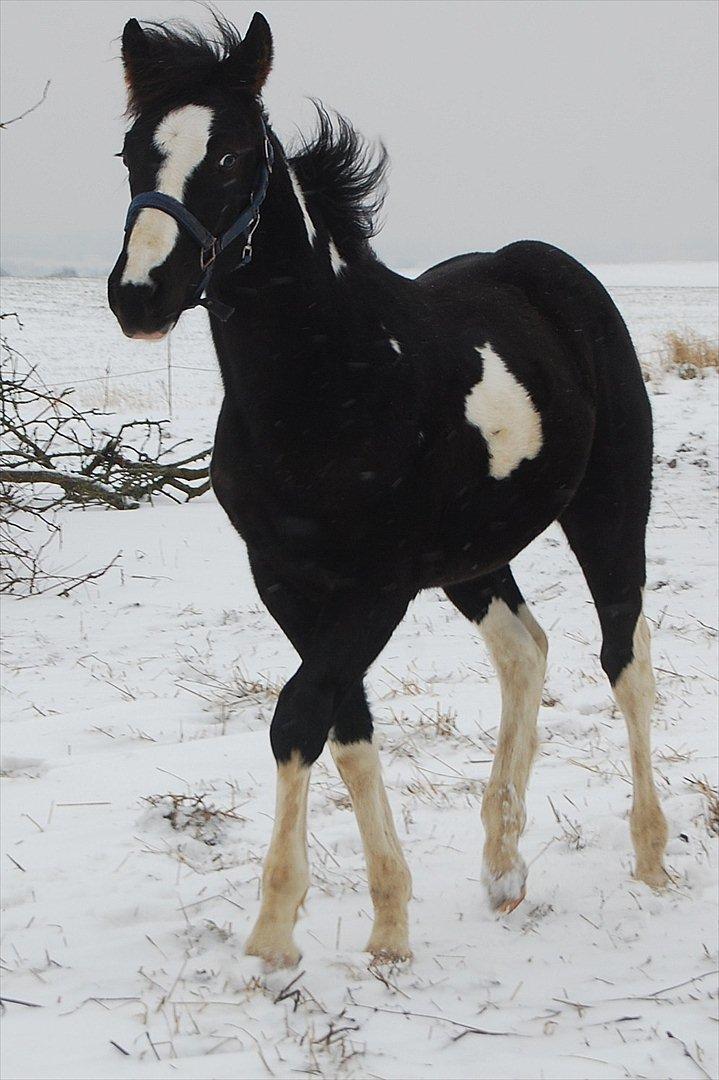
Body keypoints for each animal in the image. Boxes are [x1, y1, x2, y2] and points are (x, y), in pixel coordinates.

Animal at [109, 12, 669, 967]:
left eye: (229, 155)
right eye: (130, 152)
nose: (139, 295)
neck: (332, 384)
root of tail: (547, 270)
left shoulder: (376, 588)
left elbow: (299, 716)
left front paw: (271, 938)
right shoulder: (288, 581)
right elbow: (345, 725)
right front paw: (387, 927)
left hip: (606, 510)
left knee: (623, 658)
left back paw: (652, 857)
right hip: (473, 558)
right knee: (524, 652)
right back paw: (502, 864)